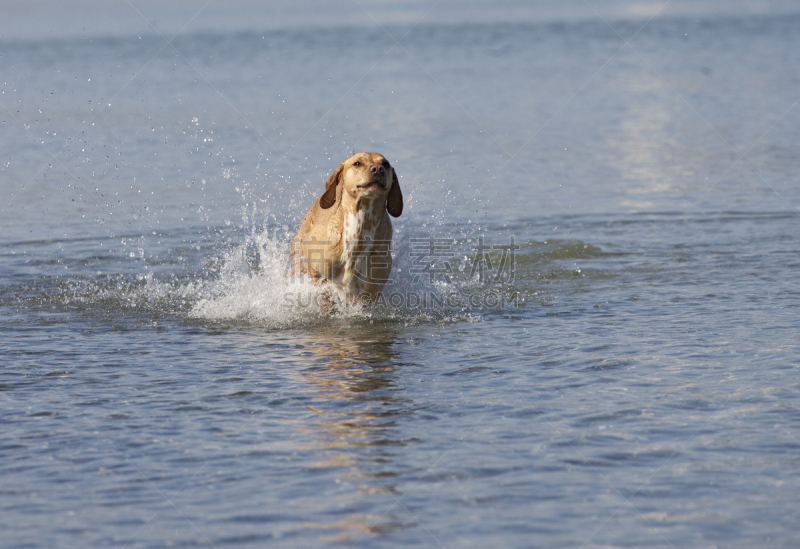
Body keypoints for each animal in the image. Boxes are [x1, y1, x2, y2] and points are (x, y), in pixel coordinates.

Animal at [290, 151, 404, 304]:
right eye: (357, 163)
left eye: (385, 164)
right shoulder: (317, 271)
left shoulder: (368, 293)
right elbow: (324, 294)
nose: (377, 169)